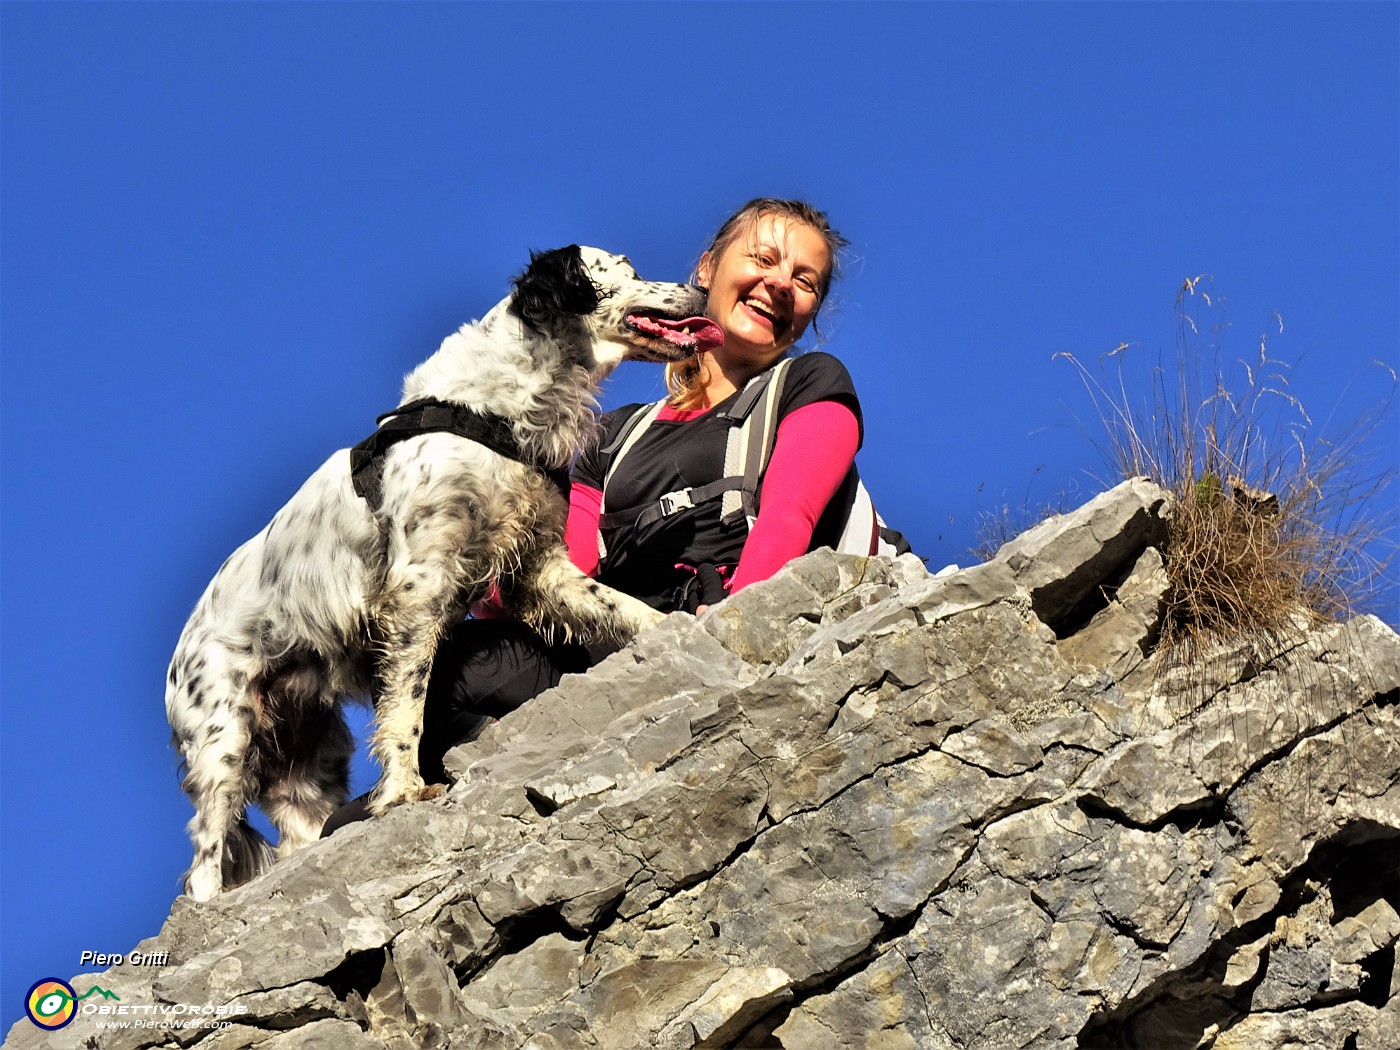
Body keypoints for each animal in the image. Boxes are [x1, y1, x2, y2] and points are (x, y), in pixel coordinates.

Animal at [166, 242, 722, 901]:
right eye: (627, 267)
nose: (702, 289)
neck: (501, 408)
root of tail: (179, 655)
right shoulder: (419, 584)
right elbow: (408, 704)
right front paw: (406, 791)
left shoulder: (538, 565)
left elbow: (622, 606)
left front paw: (680, 625)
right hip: (223, 739)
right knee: (205, 861)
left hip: (310, 761)